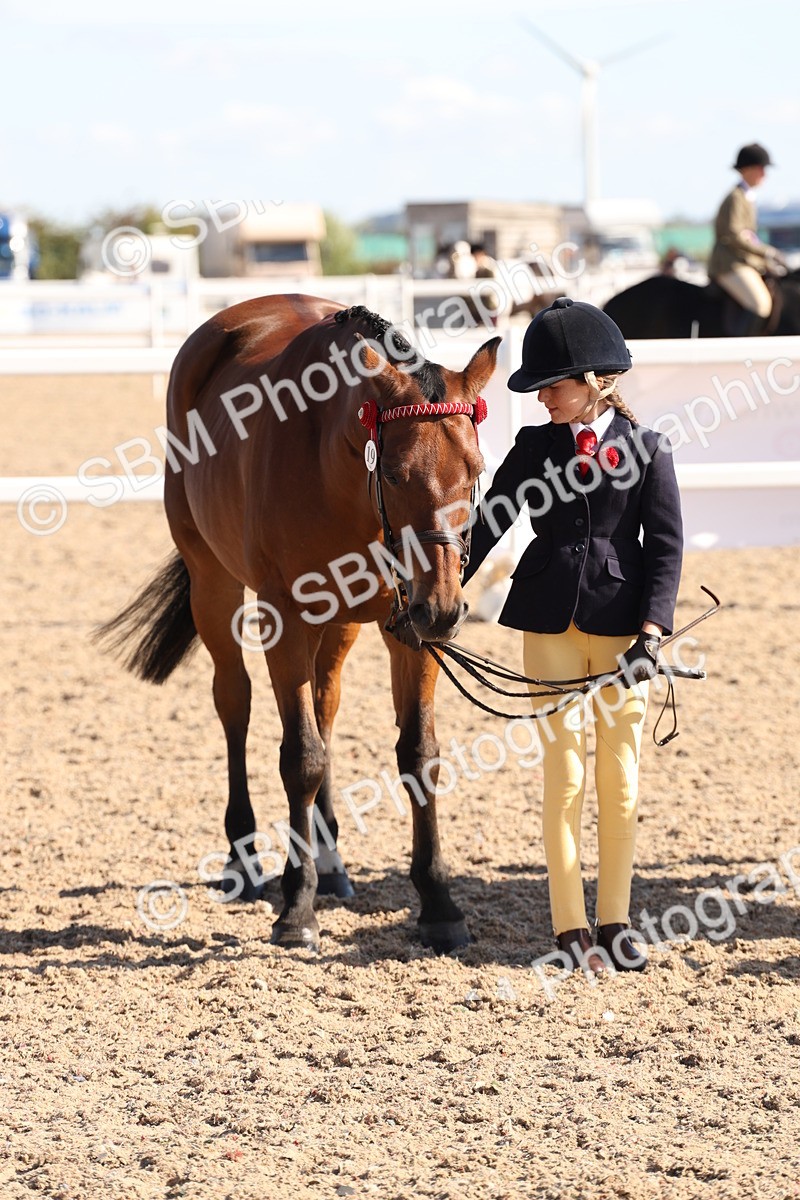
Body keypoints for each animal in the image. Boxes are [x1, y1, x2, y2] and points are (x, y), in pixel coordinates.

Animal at [97, 295, 500, 954]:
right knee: (235, 703)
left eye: (475, 469)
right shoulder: (284, 616)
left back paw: (331, 860)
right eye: (394, 473)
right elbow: (301, 757)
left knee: (326, 704)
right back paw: (244, 859)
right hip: (213, 583)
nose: (444, 608)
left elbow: (418, 755)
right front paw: (296, 907)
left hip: (343, 624)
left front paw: (439, 902)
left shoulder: (407, 627)